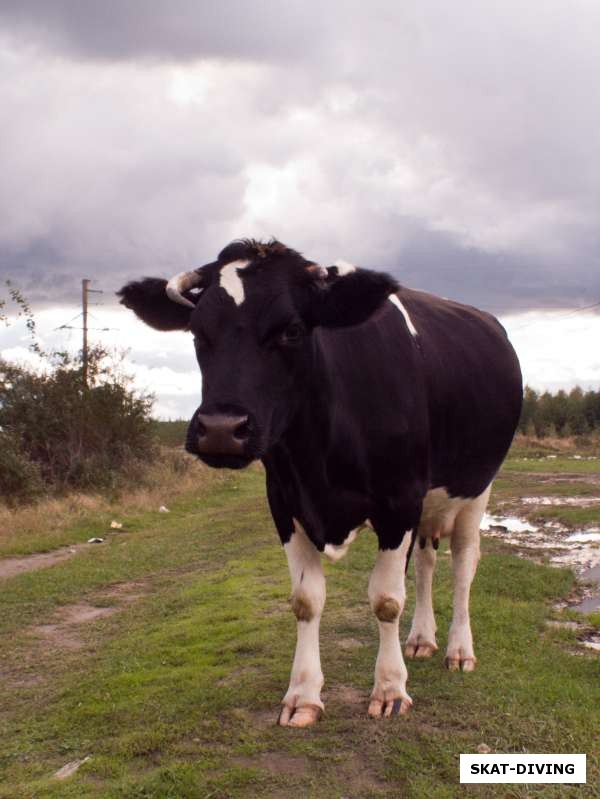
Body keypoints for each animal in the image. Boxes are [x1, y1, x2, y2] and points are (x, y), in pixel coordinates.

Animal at [117, 239, 520, 732]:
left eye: (292, 330)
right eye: (196, 333)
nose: (221, 429)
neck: (320, 462)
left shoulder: (399, 499)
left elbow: (387, 599)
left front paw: (390, 690)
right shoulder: (284, 501)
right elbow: (306, 601)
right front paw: (303, 695)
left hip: (475, 488)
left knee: (463, 563)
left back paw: (459, 650)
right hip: (429, 503)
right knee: (426, 562)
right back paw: (421, 639)